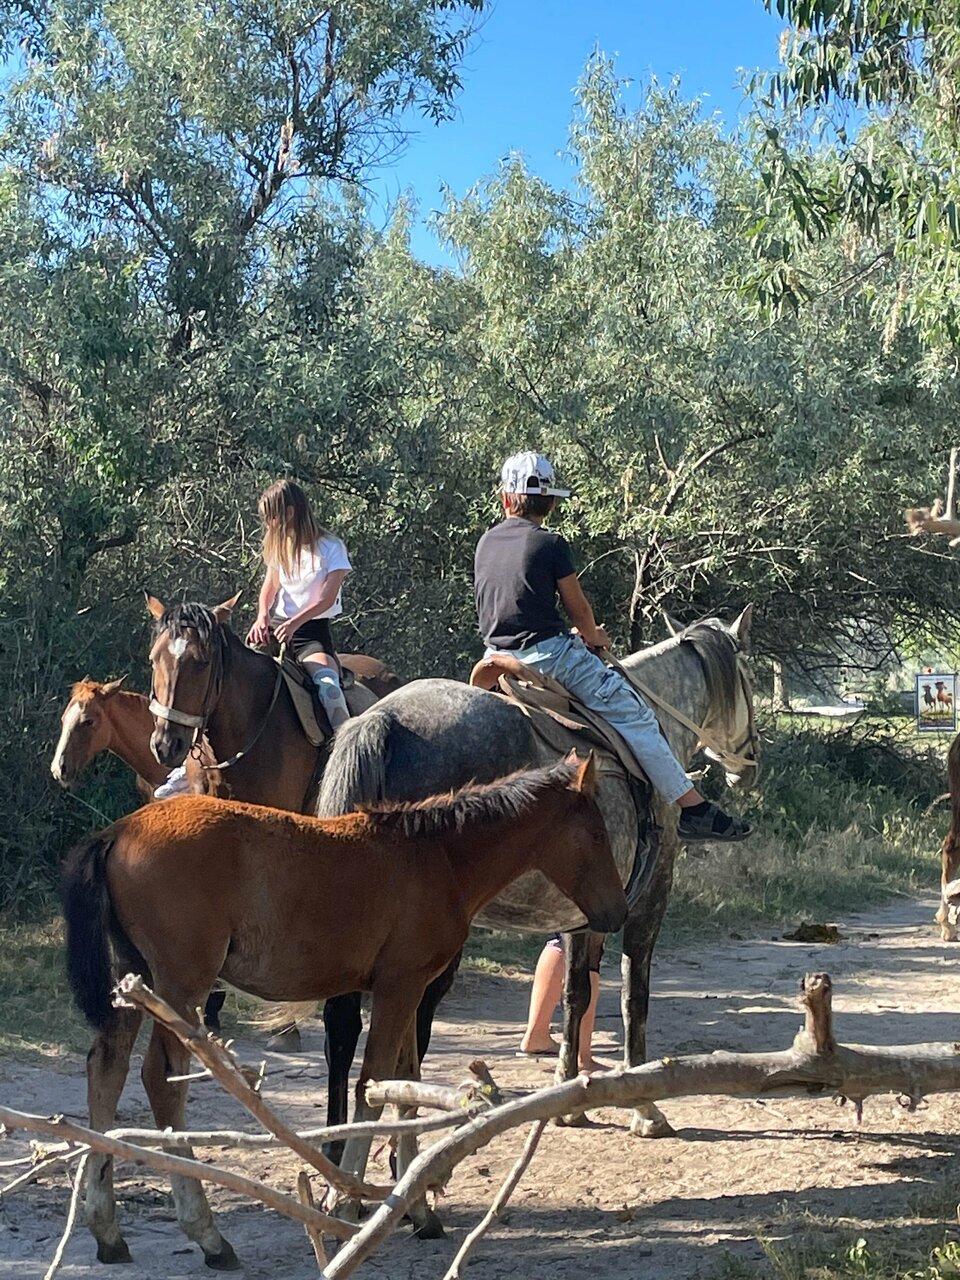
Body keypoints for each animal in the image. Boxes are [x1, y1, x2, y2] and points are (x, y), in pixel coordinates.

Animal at [62, 755, 626, 1269]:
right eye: (598, 834)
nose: (614, 911)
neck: (438, 857)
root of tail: (118, 831)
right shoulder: (399, 985)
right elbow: (373, 1086)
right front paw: (349, 1203)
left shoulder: (411, 989)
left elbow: (406, 1085)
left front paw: (419, 1211)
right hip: (182, 985)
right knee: (161, 1079)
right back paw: (208, 1235)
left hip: (135, 982)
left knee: (105, 1070)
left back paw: (106, 1229)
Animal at [315, 609, 758, 1152]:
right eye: (750, 678)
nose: (749, 766)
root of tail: (385, 720)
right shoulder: (649, 898)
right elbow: (634, 997)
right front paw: (645, 1107)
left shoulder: (583, 911)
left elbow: (575, 995)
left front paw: (569, 1100)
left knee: (344, 1025)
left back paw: (340, 1140)